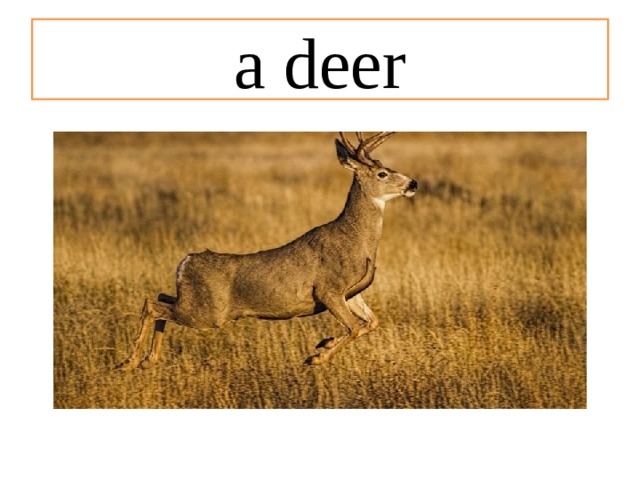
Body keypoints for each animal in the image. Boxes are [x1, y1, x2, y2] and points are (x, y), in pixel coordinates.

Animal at [115, 132, 418, 370]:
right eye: (382, 173)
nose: (413, 184)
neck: (356, 240)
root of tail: (185, 261)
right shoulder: (328, 288)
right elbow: (354, 327)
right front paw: (316, 358)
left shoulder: (350, 293)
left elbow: (371, 322)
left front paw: (324, 343)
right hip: (209, 313)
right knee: (152, 305)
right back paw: (129, 362)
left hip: (194, 302)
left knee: (160, 297)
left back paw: (147, 361)